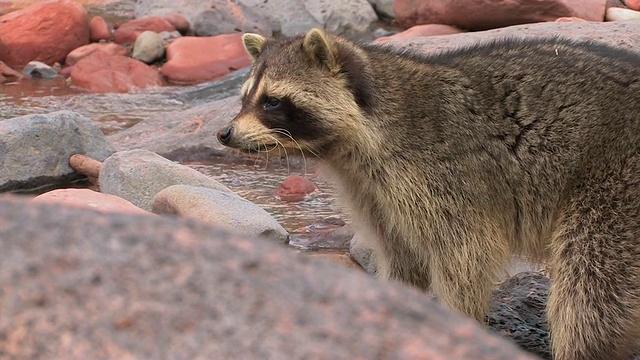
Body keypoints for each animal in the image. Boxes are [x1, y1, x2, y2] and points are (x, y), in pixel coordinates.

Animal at [218, 28, 640, 360]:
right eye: (244, 97)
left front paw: (457, 319)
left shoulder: (443, 174)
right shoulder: (374, 192)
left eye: (272, 101)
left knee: (589, 287)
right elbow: (404, 257)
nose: (224, 134)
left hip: (615, 182)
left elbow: (466, 257)